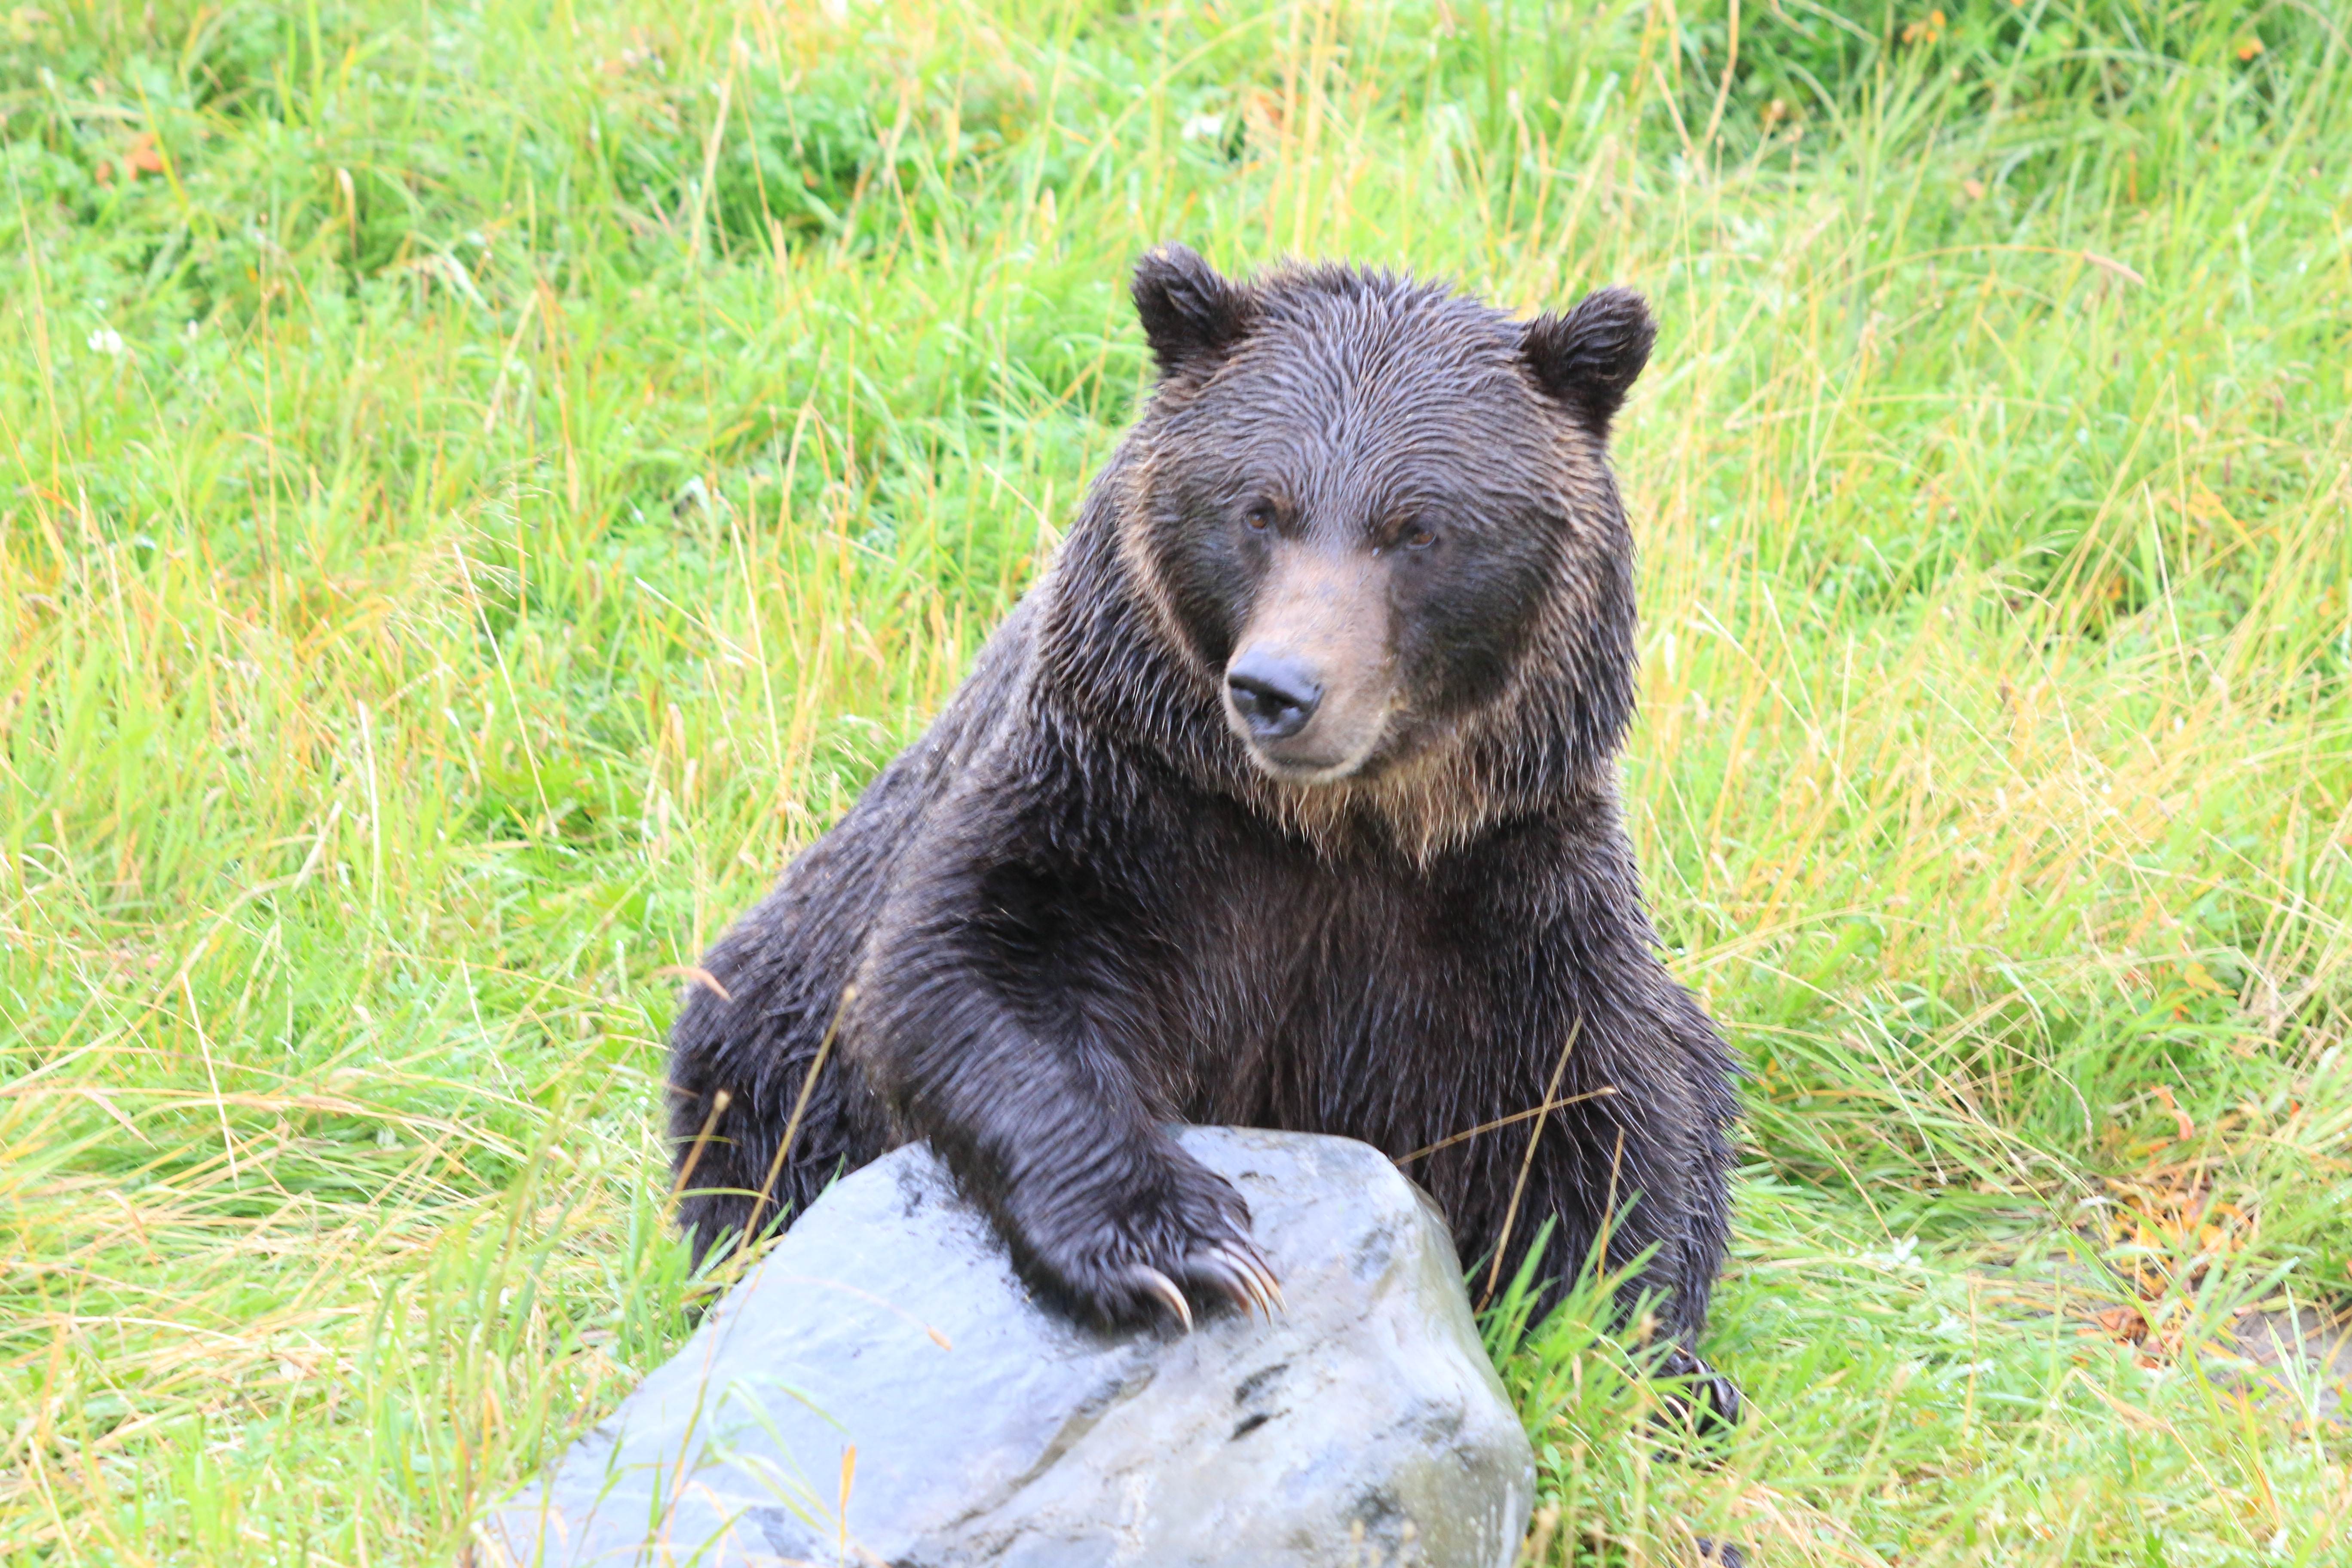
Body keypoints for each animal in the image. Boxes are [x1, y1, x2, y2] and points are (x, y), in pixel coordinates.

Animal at [665, 245, 1741, 1417]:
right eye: (1259, 509)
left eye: (1417, 527)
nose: (1281, 688)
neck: (1340, 826)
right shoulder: (1128, 800)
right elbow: (969, 972)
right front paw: (1174, 1247)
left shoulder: (1503, 887)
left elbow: (1603, 1116)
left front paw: (1644, 1365)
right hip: (759, 1056)